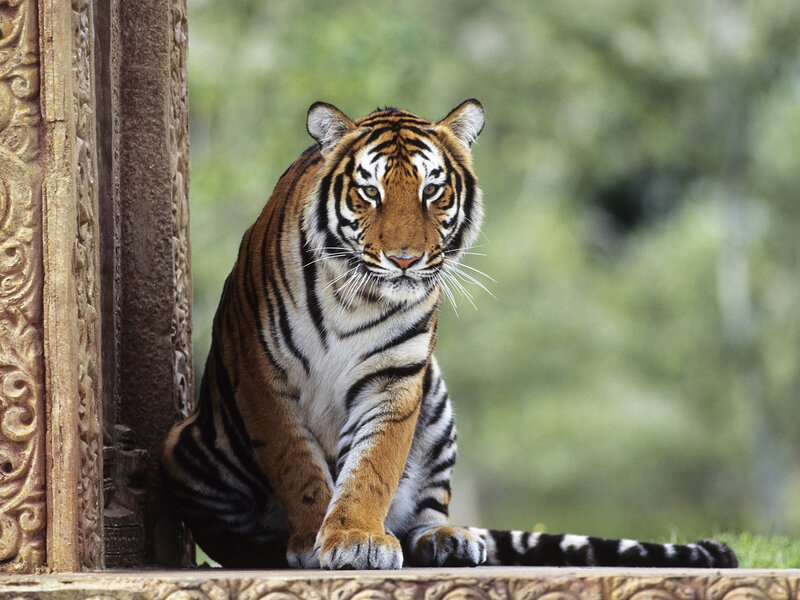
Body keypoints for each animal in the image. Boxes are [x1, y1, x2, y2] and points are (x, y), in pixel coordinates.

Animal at [160, 100, 737, 570]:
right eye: (369, 191)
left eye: (432, 190)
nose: (404, 259)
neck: (354, 296)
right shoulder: (264, 377)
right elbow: (297, 466)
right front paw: (313, 539)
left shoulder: (396, 379)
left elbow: (373, 466)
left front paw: (354, 537)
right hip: (186, 449)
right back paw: (268, 548)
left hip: (435, 402)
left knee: (425, 510)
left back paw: (446, 540)